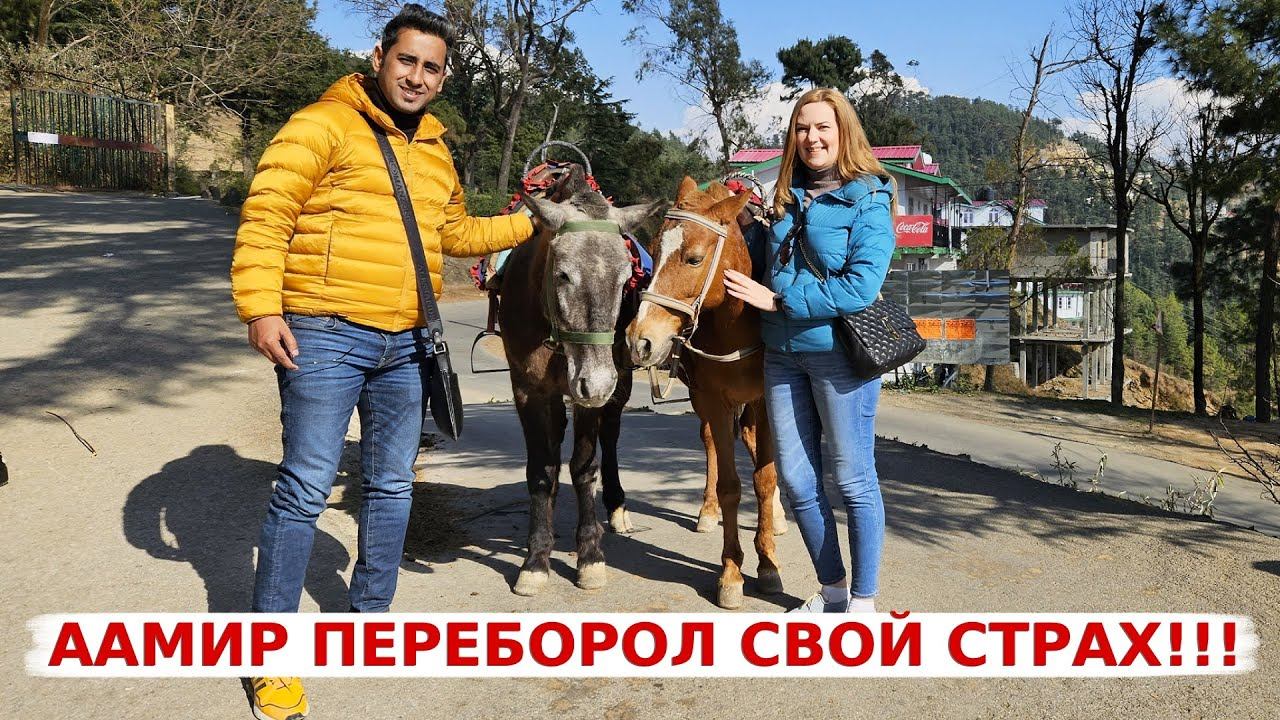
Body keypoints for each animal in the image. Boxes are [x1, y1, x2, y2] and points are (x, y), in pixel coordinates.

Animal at [497, 166, 663, 596]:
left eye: (625, 279)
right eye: (563, 274)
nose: (599, 383)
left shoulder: (591, 392)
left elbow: (585, 466)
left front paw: (590, 555)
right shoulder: (528, 389)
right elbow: (541, 469)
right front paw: (536, 558)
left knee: (611, 436)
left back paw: (617, 508)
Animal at [626, 176, 786, 609]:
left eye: (694, 259)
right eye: (654, 249)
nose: (640, 340)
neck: (736, 321)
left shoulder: (766, 398)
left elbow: (766, 478)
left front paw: (768, 564)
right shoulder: (713, 399)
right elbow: (731, 484)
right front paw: (731, 573)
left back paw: (780, 518)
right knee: (712, 441)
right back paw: (707, 510)